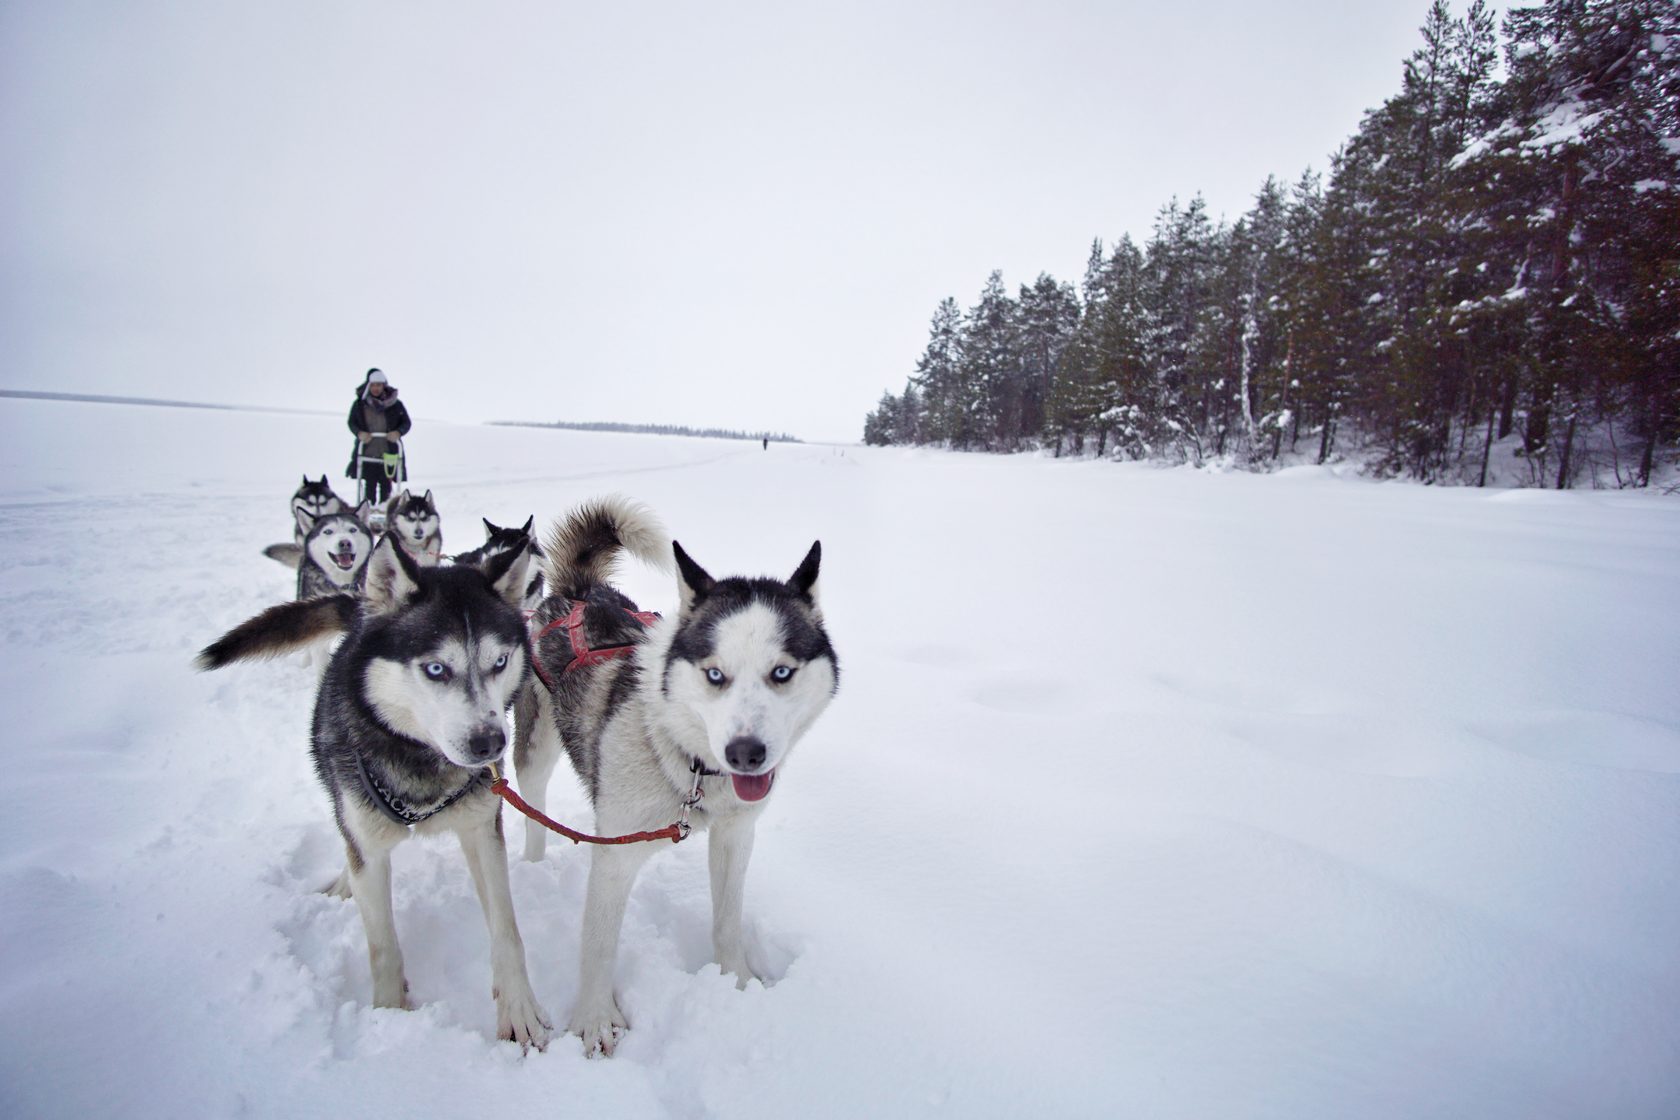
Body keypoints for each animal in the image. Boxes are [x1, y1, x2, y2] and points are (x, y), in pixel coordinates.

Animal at [196, 533, 551, 1054]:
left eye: (500, 662)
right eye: (436, 668)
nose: (490, 743)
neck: (420, 763)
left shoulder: (484, 831)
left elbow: (507, 930)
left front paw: (520, 1009)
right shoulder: (368, 839)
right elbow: (382, 941)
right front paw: (389, 1016)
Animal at [517, 497, 840, 1061]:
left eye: (782, 673)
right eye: (715, 674)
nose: (746, 753)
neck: (686, 760)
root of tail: (580, 591)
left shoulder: (735, 835)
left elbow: (728, 920)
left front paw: (737, 981)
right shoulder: (616, 851)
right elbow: (598, 944)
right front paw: (595, 1019)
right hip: (534, 750)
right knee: (532, 809)